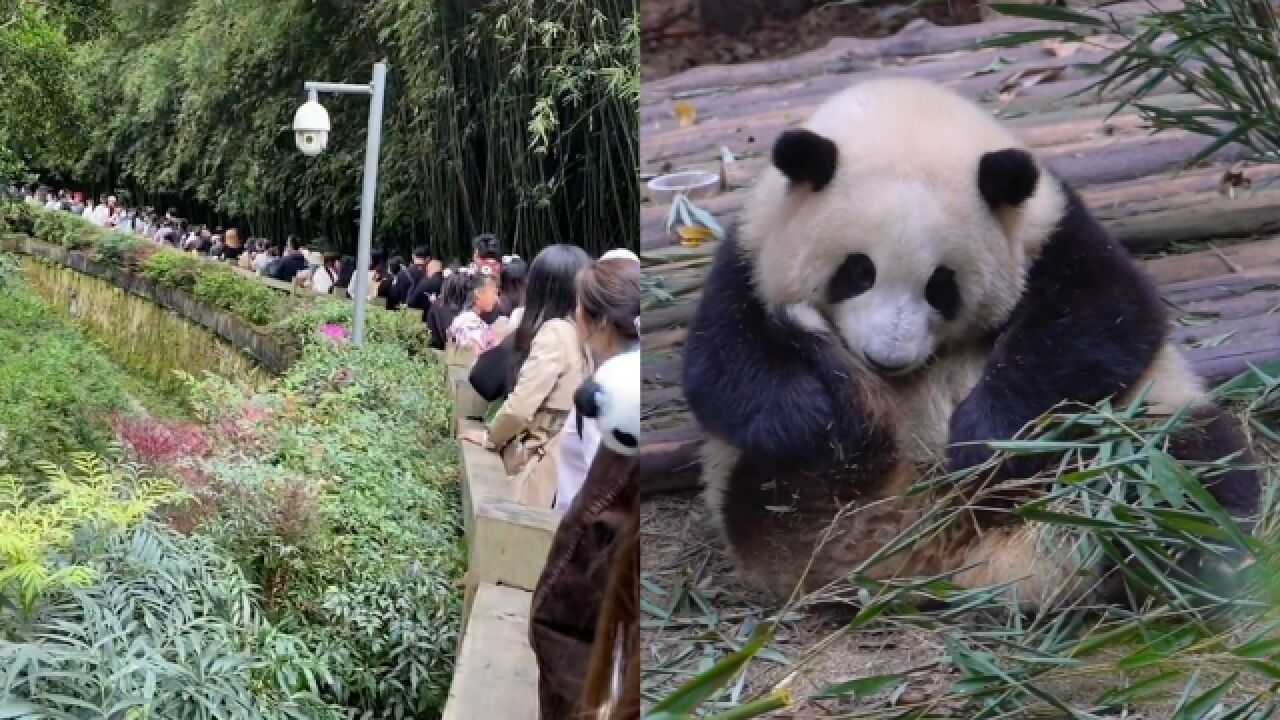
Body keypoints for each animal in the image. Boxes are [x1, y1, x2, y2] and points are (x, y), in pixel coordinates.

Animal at [686, 77, 1254, 604]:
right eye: (857, 272)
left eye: (941, 285)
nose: (886, 358)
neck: (905, 110)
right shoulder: (750, 254)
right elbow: (724, 366)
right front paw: (810, 421)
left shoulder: (1051, 231)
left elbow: (1100, 324)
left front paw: (982, 442)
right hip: (762, 496)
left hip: (1131, 431)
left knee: (1188, 470)